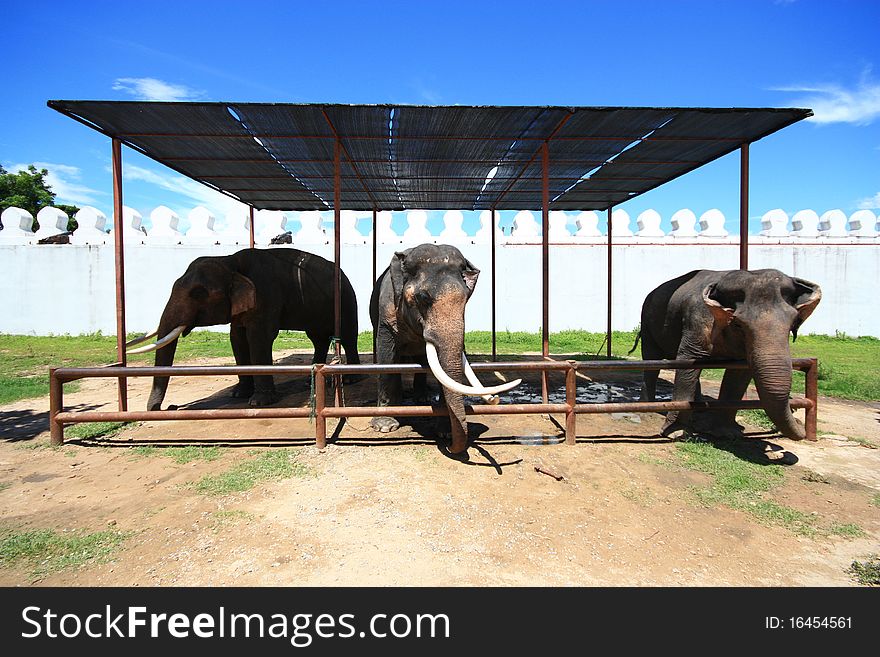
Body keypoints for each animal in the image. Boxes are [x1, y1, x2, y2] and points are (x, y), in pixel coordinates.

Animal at [125, 246, 360, 410]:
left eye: (198, 293)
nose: (168, 407)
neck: (229, 261)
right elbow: (237, 338)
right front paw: (238, 395)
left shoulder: (266, 294)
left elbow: (259, 338)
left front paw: (259, 402)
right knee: (317, 338)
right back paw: (308, 380)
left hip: (346, 299)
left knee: (347, 336)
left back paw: (350, 379)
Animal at [368, 242, 520, 456]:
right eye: (423, 298)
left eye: (466, 299)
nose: (496, 399)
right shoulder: (386, 312)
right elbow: (386, 358)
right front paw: (384, 427)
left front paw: (445, 433)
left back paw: (421, 399)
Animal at [628, 266, 820, 440]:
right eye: (738, 324)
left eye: (793, 322)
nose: (801, 429)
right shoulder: (698, 318)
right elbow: (688, 360)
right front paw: (676, 433)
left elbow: (739, 373)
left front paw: (728, 433)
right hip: (648, 322)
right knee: (652, 359)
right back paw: (649, 406)